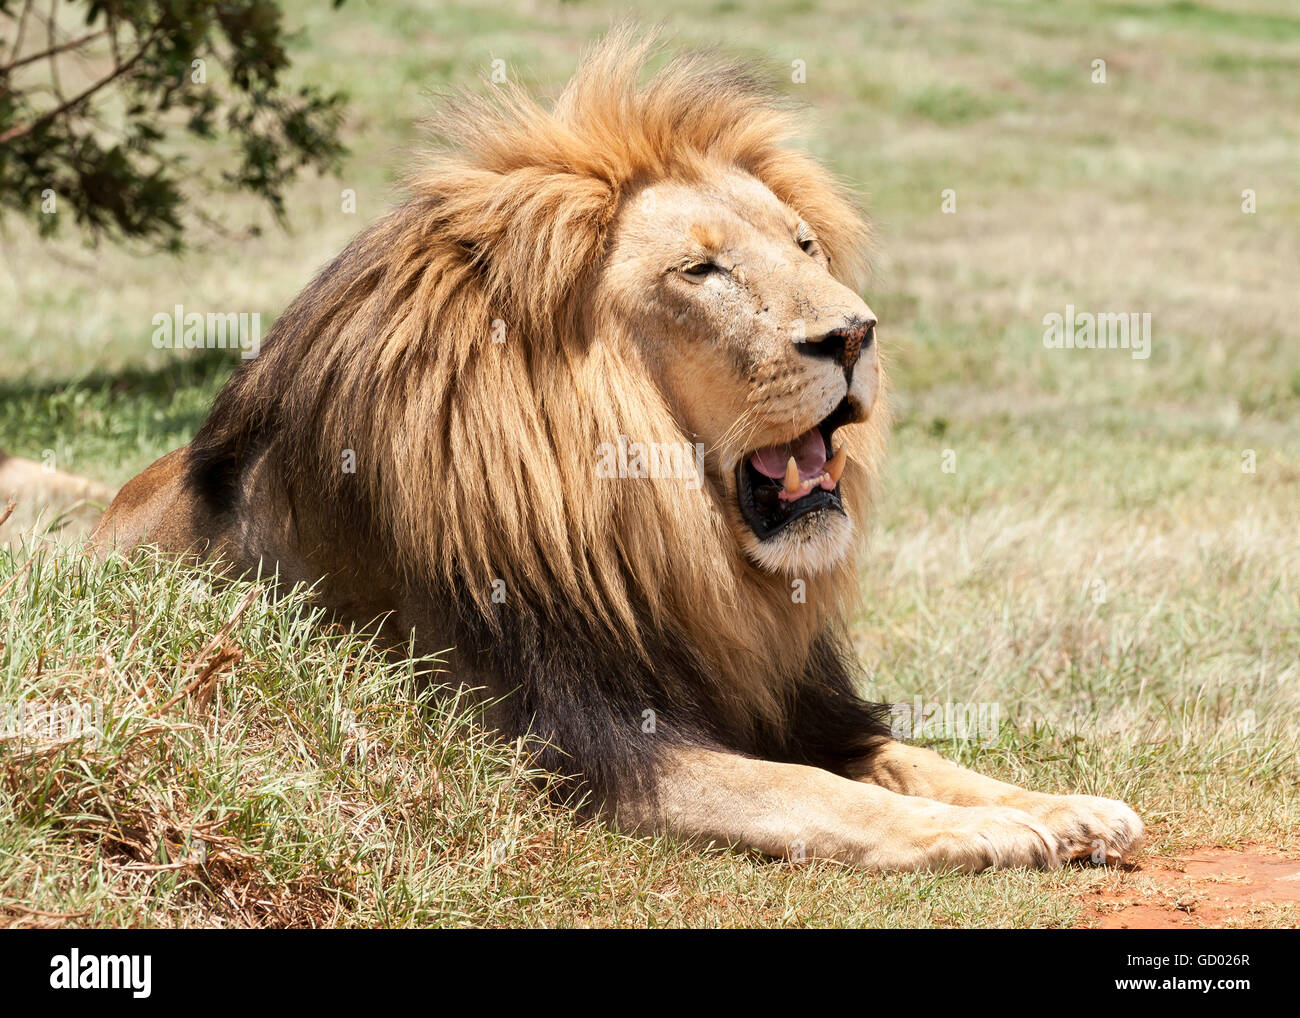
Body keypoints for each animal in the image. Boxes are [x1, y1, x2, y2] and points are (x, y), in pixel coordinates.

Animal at [93, 29, 1143, 871]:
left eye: (804, 246)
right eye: (703, 270)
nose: (854, 334)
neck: (668, 541)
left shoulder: (793, 701)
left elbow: (912, 759)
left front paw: (1065, 807)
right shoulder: (586, 751)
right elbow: (806, 791)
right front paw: (982, 833)